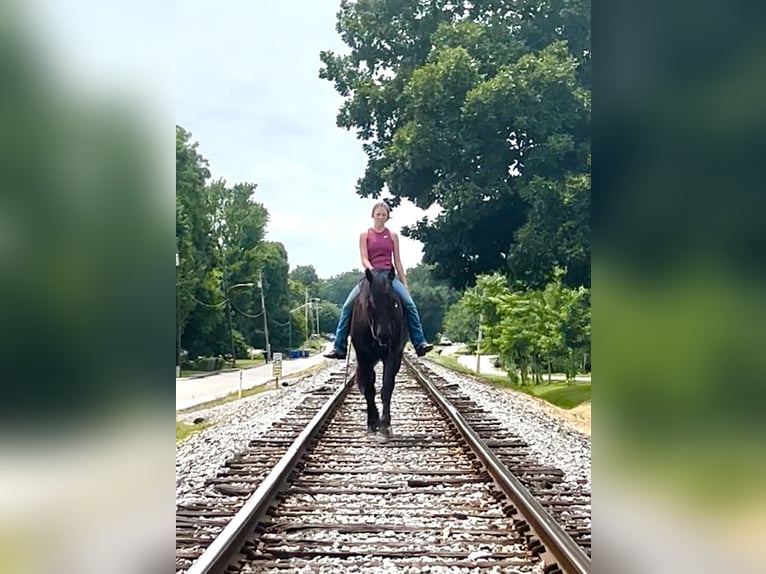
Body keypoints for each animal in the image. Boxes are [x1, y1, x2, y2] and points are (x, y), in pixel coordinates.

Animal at [352, 268, 412, 440]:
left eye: (394, 302)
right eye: (370, 303)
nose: (384, 335)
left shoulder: (393, 356)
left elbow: (386, 387)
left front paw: (385, 424)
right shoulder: (363, 358)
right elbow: (369, 390)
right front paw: (372, 423)